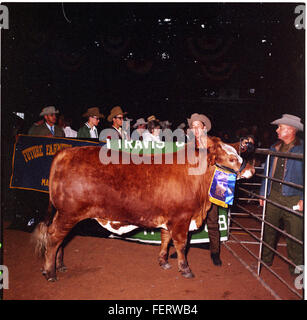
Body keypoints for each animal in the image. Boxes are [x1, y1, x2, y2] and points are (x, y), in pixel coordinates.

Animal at [33, 136, 255, 282]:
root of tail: (66, 151)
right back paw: (49, 272)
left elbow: (165, 239)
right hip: (68, 213)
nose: (251, 169)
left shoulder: (169, 219)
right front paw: (185, 269)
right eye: (231, 159)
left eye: (239, 154)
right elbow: (181, 245)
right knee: (54, 237)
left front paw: (163, 261)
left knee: (61, 239)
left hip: (65, 214)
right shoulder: (181, 219)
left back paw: (60, 265)